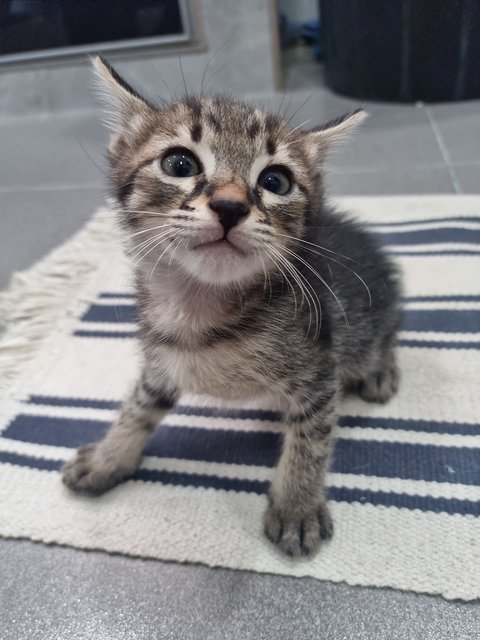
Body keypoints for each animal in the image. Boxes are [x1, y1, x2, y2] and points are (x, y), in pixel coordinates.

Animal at [62, 57, 402, 556]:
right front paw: (109, 457)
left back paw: (381, 371)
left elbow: (310, 441)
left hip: (366, 324)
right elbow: (138, 406)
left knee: (384, 337)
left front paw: (297, 506)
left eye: (275, 181)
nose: (229, 205)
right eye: (179, 163)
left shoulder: (320, 372)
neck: (200, 308)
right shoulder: (161, 363)